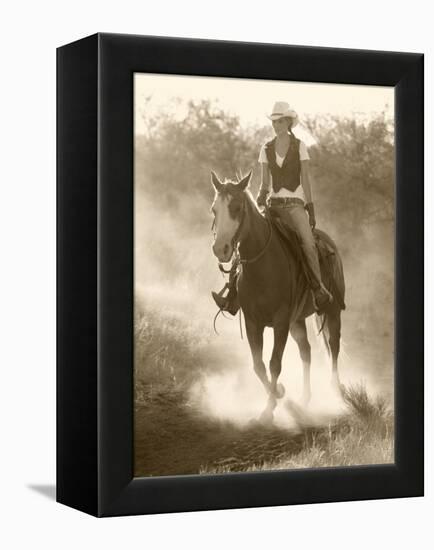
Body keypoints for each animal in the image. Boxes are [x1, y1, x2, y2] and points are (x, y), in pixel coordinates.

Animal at [210, 170, 346, 424]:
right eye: (215, 209)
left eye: (236, 207)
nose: (220, 249)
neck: (264, 265)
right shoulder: (253, 322)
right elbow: (258, 365)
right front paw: (279, 394)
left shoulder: (281, 322)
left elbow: (274, 363)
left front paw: (268, 409)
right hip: (297, 320)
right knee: (306, 351)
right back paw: (304, 399)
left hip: (332, 312)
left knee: (333, 345)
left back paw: (335, 390)